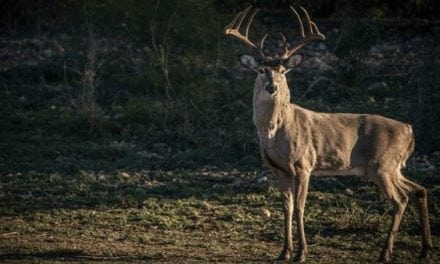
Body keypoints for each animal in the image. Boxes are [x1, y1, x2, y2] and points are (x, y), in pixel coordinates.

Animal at [225, 5, 432, 262]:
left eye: (283, 70)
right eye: (261, 70)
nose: (272, 87)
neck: (275, 133)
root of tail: (409, 130)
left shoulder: (304, 164)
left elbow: (300, 208)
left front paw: (301, 253)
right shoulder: (278, 169)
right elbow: (287, 208)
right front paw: (284, 252)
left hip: (382, 165)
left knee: (401, 199)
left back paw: (385, 253)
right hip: (391, 167)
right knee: (419, 190)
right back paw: (425, 249)